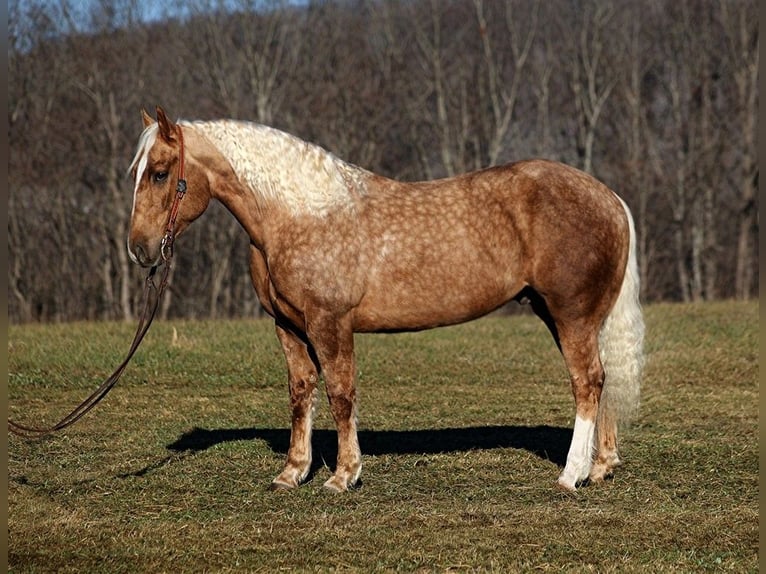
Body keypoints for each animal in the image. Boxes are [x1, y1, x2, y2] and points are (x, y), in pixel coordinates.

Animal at [128, 106, 644, 493]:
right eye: (137, 172)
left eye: (160, 174)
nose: (140, 249)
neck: (299, 214)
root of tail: (611, 198)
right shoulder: (288, 326)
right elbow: (301, 393)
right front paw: (292, 473)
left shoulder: (329, 323)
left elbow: (340, 394)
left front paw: (343, 475)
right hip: (570, 316)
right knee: (602, 380)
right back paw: (600, 466)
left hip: (571, 314)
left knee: (587, 382)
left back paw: (571, 475)